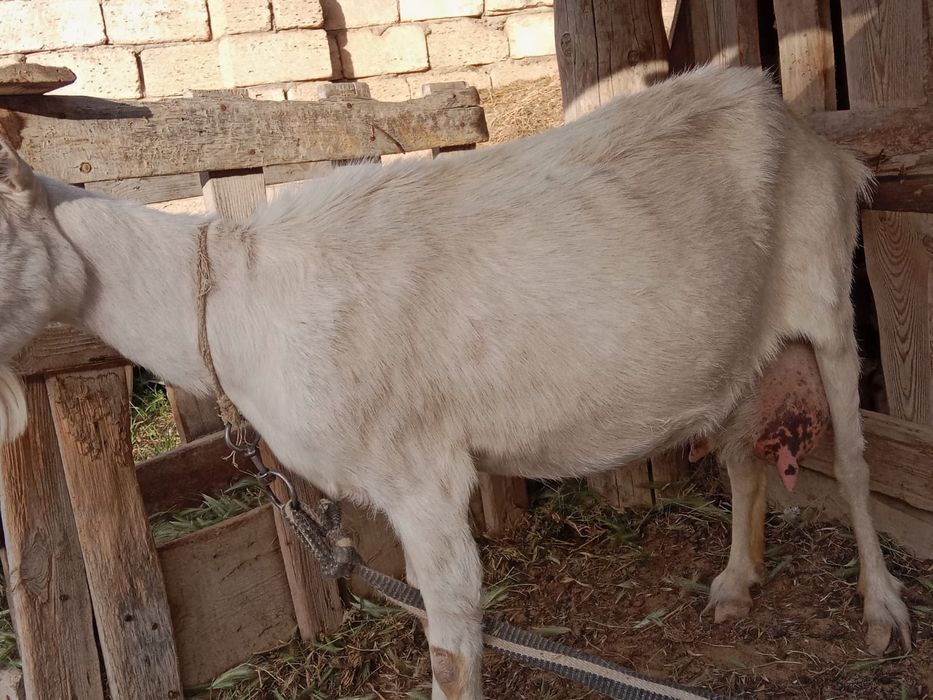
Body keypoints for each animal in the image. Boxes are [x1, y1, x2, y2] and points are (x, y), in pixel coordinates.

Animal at [0, 66, 910, 699]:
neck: (234, 299)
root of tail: (805, 129)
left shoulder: (422, 478)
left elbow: (450, 647)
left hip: (826, 296)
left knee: (855, 466)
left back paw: (881, 612)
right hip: (733, 347)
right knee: (741, 458)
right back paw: (733, 585)